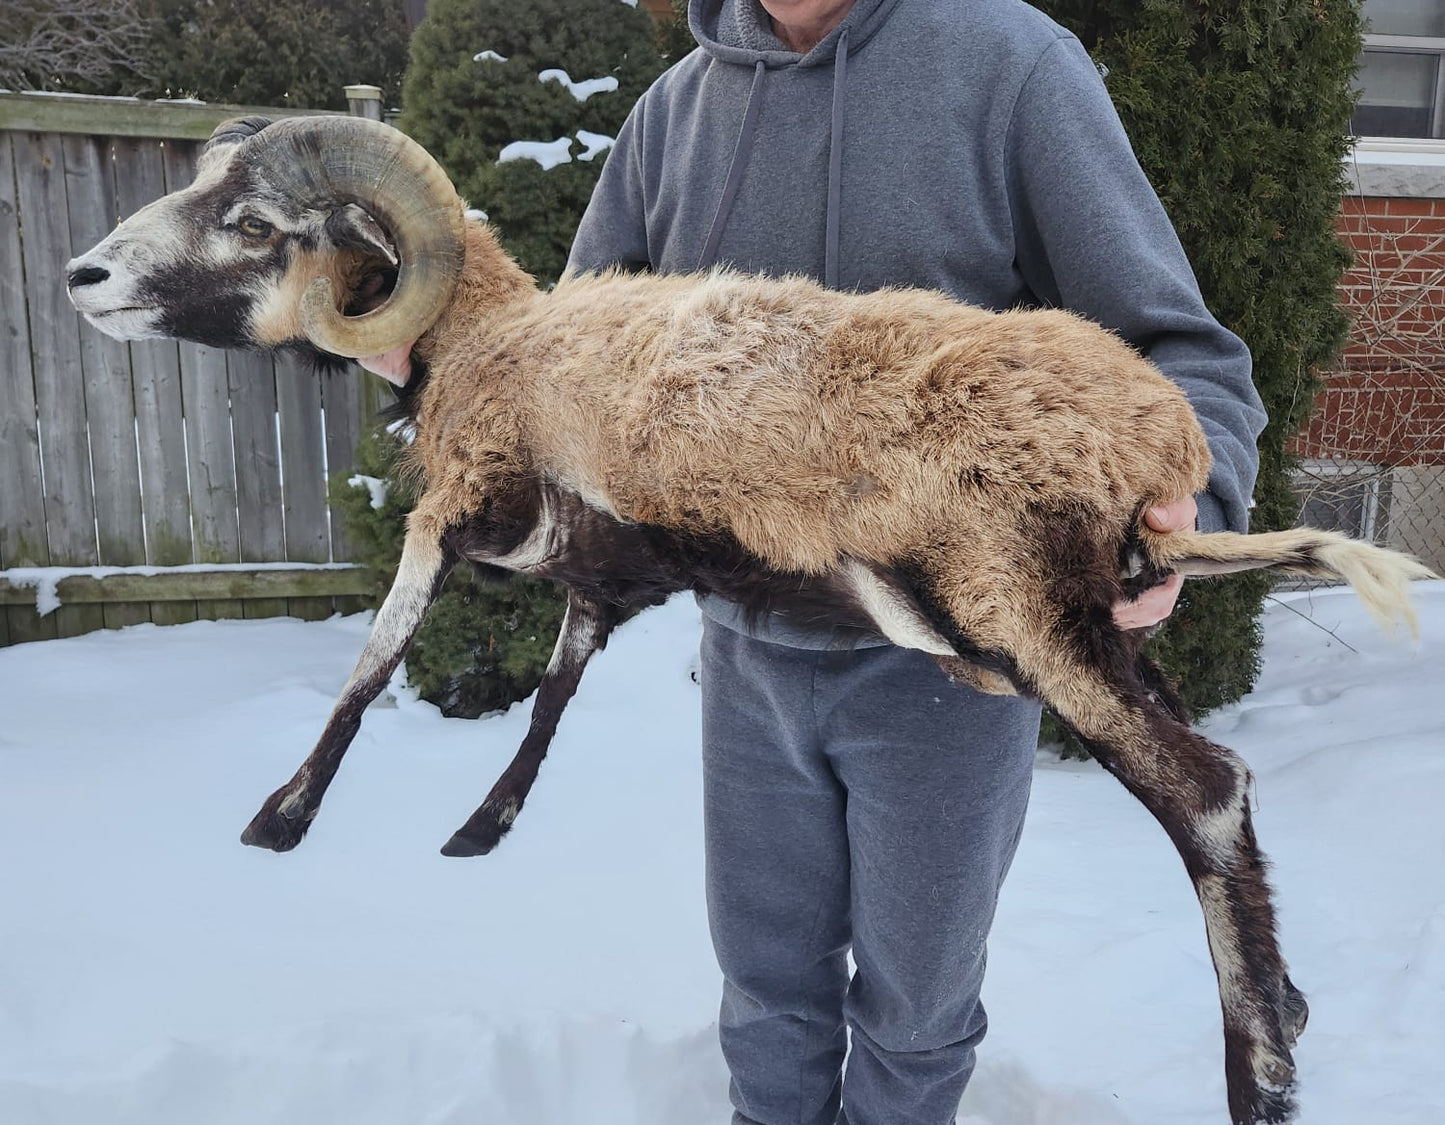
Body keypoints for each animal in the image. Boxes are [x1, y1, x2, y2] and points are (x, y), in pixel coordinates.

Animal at [65, 114, 1433, 1125]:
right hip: (1064, 627)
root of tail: (1156, 449)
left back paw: (1261, 1076)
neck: (489, 336)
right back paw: (1289, 1007)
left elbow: (370, 661)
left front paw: (278, 824)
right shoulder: (605, 581)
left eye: (257, 222)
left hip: (1025, 614)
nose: (85, 278)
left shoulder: (453, 510)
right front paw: (478, 832)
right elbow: (553, 691)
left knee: (1205, 791)